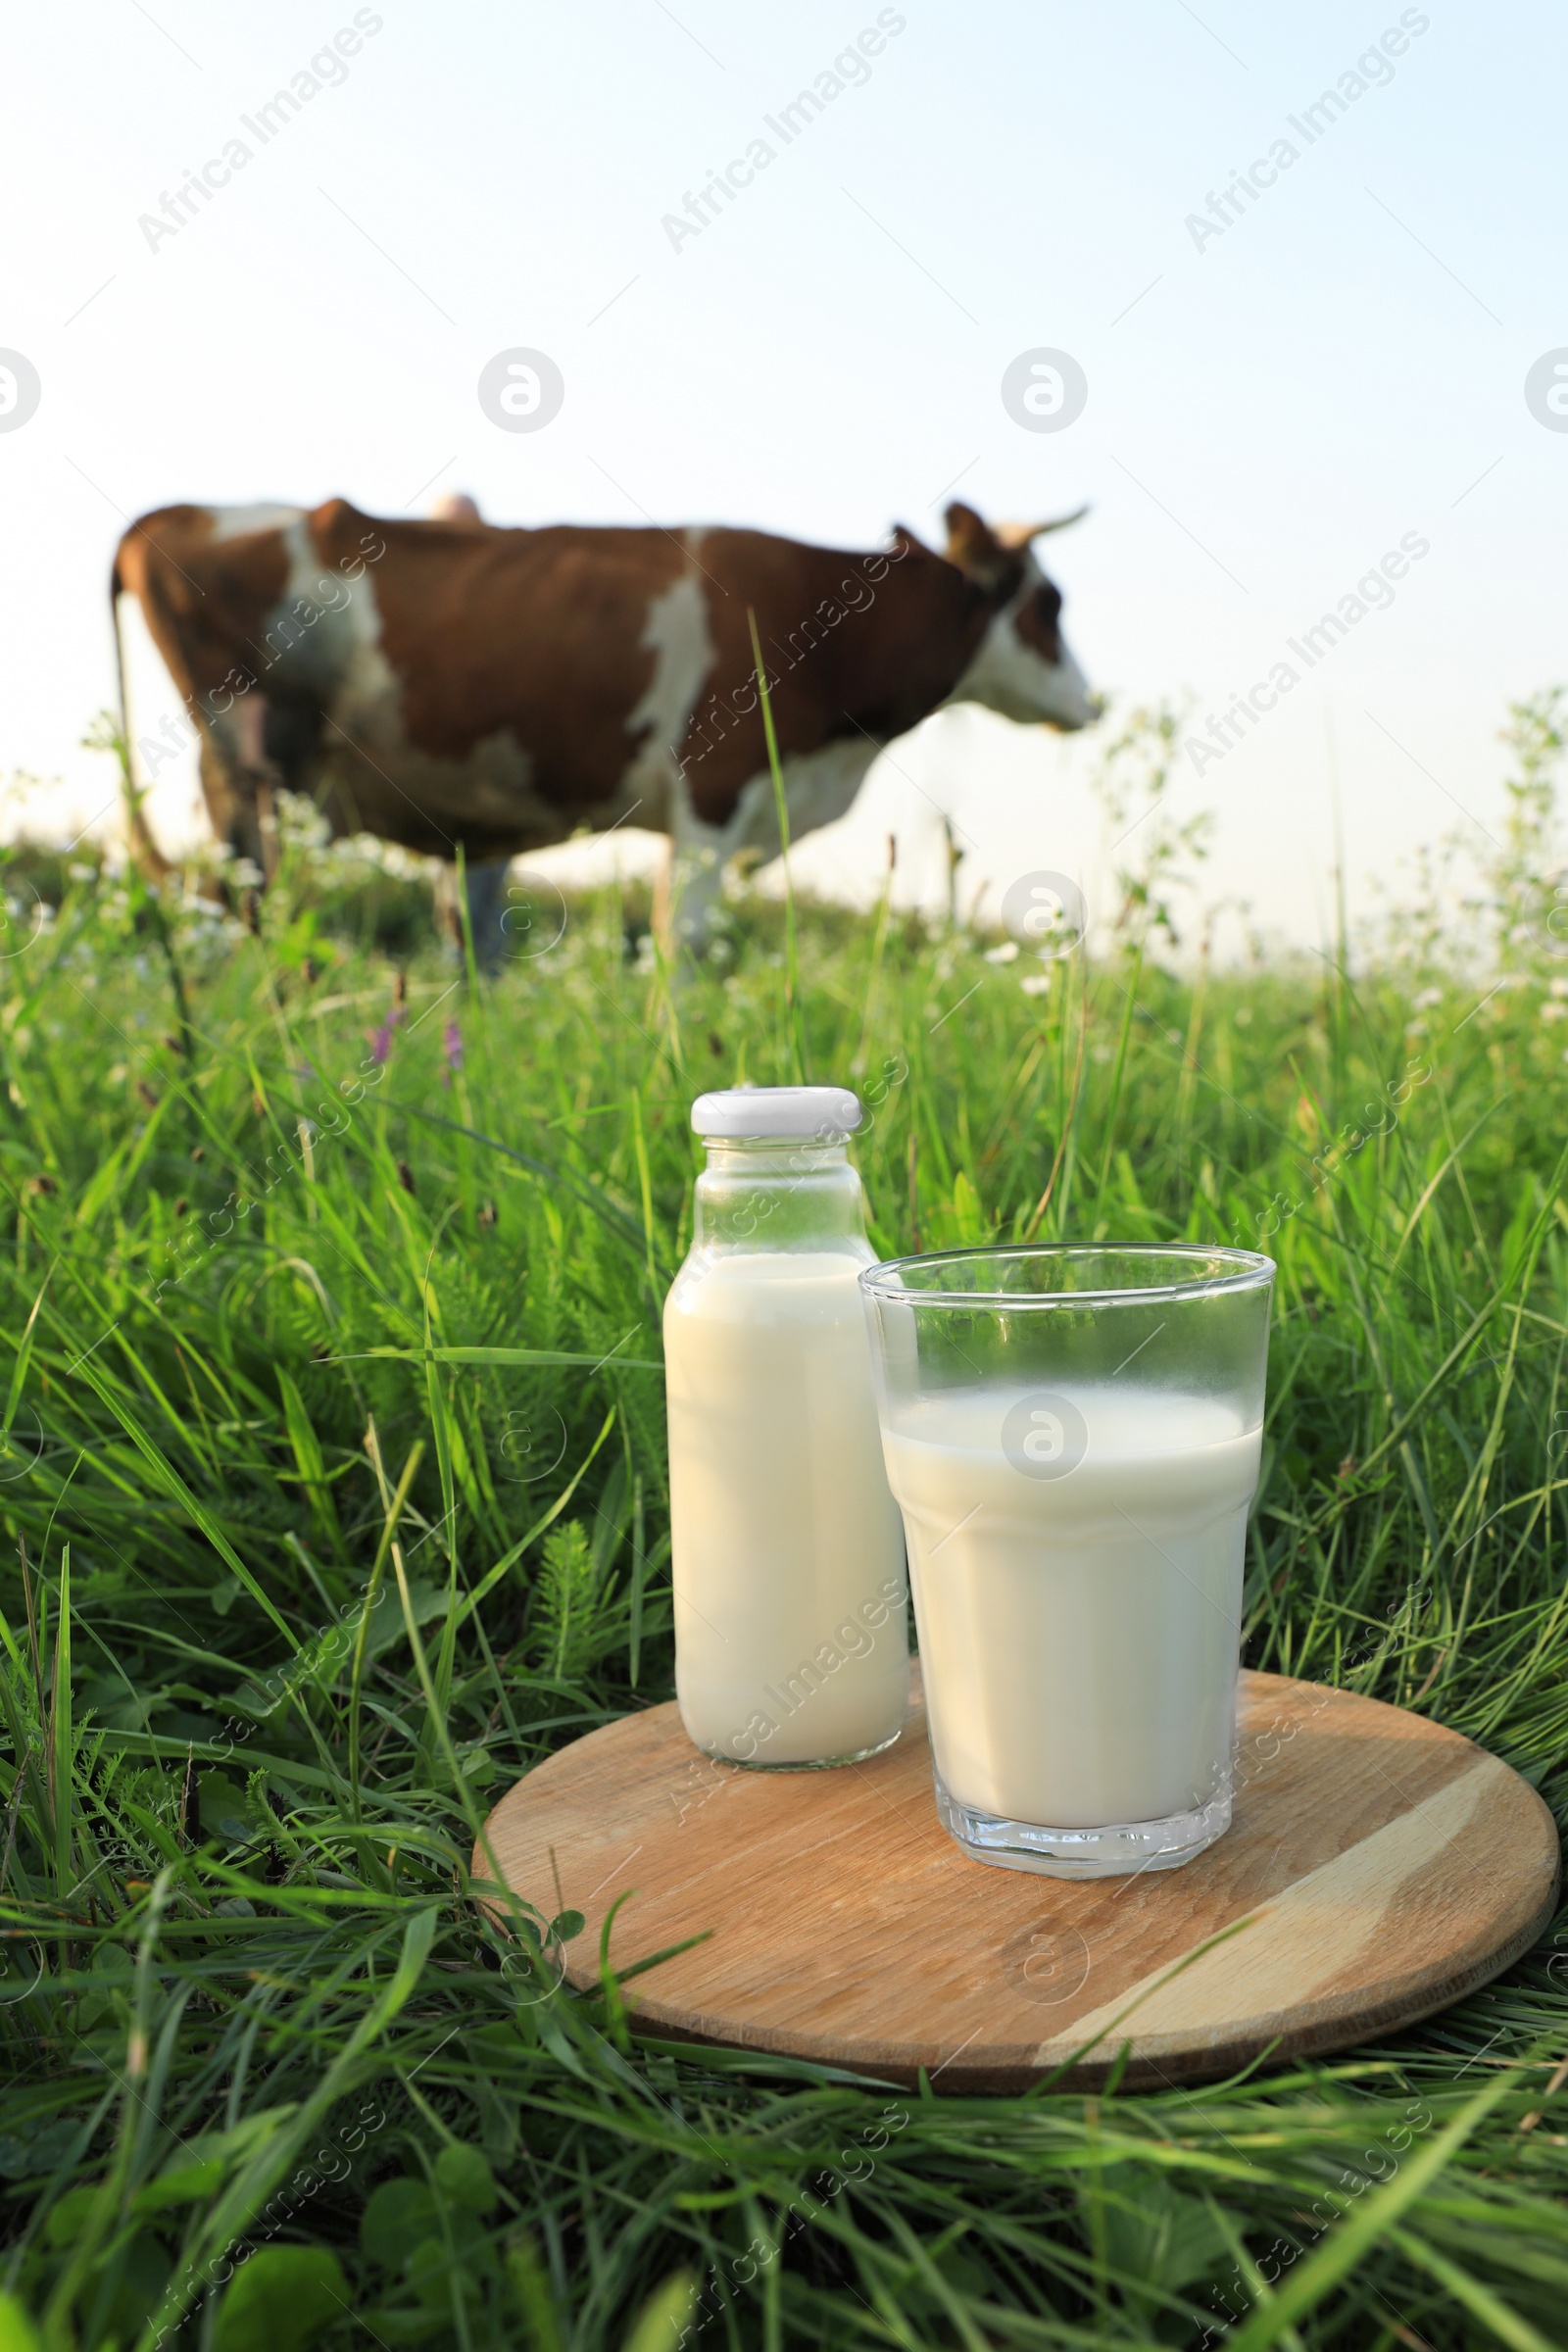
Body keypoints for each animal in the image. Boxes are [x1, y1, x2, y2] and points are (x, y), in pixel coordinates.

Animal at [113, 491, 1091, 950]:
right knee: (242, 907)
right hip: (250, 766)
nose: (1093, 700)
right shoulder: (714, 790)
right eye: (1050, 602)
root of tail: (168, 515)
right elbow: (682, 941)